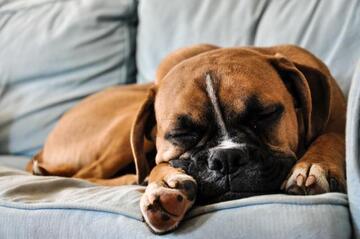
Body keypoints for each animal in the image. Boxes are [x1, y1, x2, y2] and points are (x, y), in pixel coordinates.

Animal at [26, 44, 346, 233]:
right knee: (90, 173)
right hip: (122, 128)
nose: (226, 158)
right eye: (181, 134)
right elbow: (158, 165)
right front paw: (163, 185)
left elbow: (332, 136)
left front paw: (313, 165)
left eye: (264, 115)